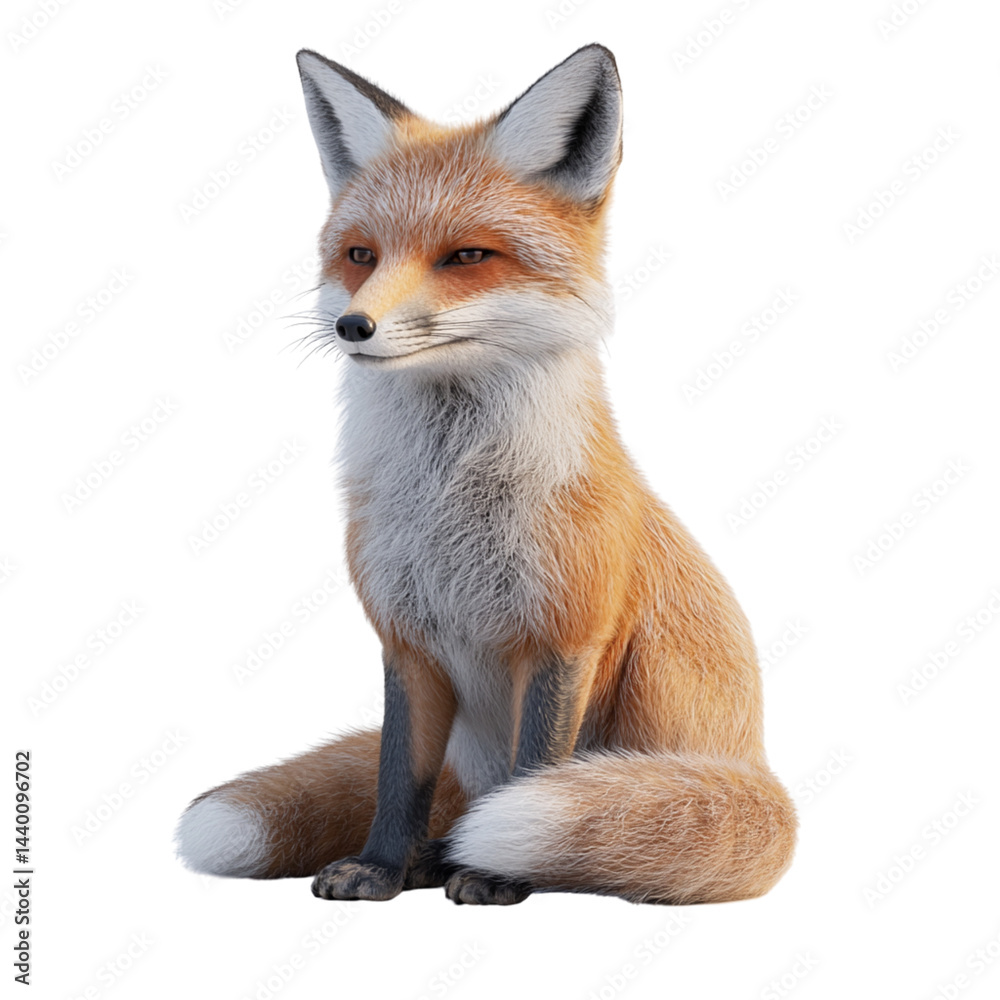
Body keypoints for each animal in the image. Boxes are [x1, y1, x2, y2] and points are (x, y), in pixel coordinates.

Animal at [175, 44, 797, 906]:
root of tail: (758, 761)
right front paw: (382, 866)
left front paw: (497, 874)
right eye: (360, 255)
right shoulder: (408, 641)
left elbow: (533, 768)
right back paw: (431, 858)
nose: (353, 325)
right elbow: (398, 775)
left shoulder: (565, 637)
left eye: (467, 256)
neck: (451, 510)